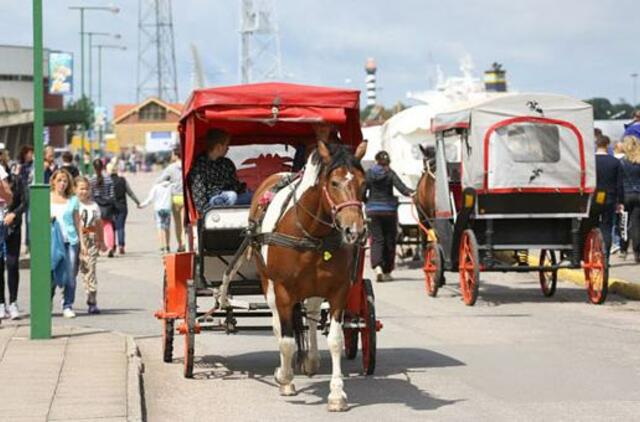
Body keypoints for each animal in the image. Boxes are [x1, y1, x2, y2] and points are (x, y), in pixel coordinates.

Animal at [220, 140, 364, 410]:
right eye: (334, 183)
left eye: (364, 183)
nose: (355, 230)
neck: (312, 234)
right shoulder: (283, 290)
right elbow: (286, 339)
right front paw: (285, 378)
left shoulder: (338, 290)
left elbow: (336, 339)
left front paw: (337, 393)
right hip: (269, 283)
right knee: (278, 324)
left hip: (314, 289)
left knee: (313, 314)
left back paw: (312, 360)